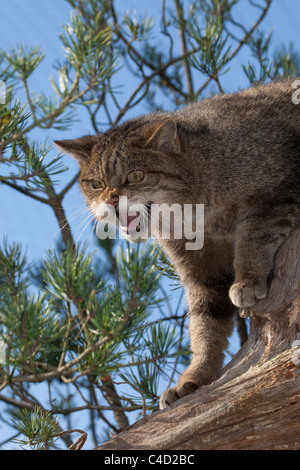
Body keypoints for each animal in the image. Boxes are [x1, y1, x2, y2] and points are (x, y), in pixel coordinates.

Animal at [55, 79, 300, 410]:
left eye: (135, 175)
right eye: (96, 183)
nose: (110, 198)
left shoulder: (276, 193)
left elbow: (253, 235)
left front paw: (247, 280)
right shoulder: (202, 271)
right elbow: (205, 323)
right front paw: (195, 377)